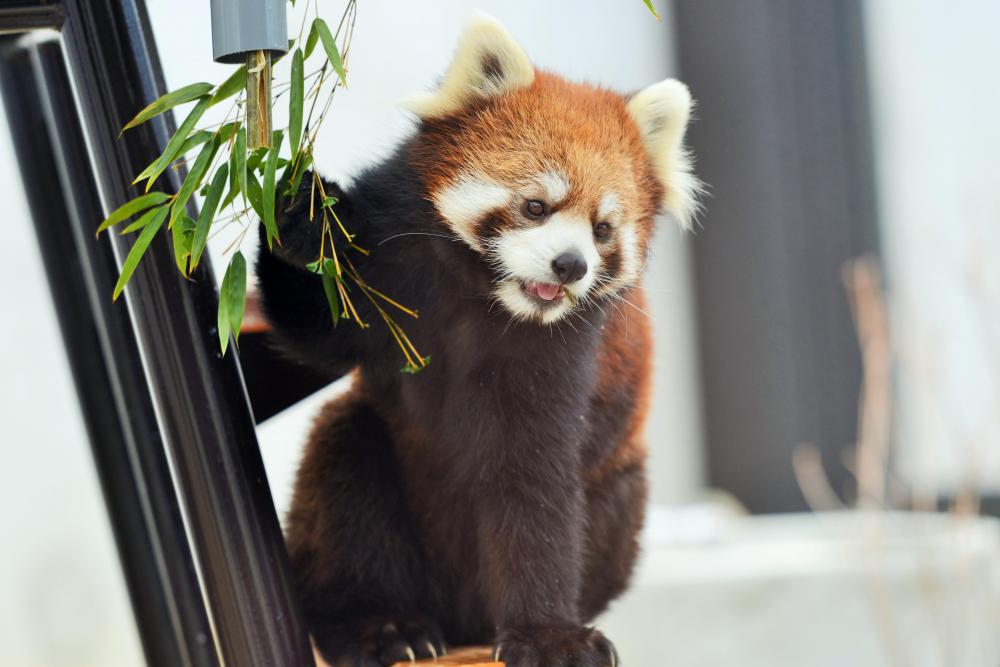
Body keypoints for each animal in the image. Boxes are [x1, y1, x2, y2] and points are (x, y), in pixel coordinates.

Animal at [254, 14, 700, 667]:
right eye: (536, 206)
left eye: (602, 229)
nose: (570, 265)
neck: (483, 298)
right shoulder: (390, 275)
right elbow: (316, 327)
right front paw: (301, 217)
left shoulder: (564, 356)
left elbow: (534, 482)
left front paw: (548, 635)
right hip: (369, 477)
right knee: (345, 464)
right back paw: (379, 625)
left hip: (619, 490)